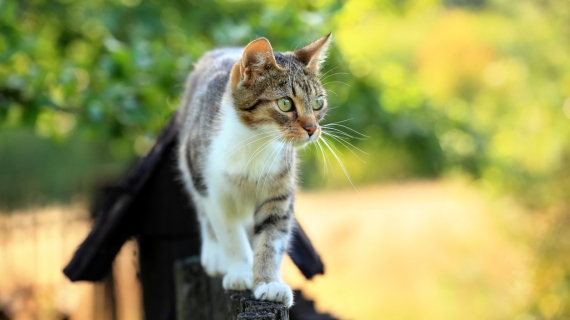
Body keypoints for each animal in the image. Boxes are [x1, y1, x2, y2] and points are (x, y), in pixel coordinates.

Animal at [175, 33, 330, 306]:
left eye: (318, 103)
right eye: (285, 103)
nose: (313, 129)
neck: (256, 143)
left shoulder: (279, 191)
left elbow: (272, 238)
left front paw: (268, 282)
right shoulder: (213, 190)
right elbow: (229, 233)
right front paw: (239, 272)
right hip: (190, 161)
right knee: (203, 211)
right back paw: (215, 255)